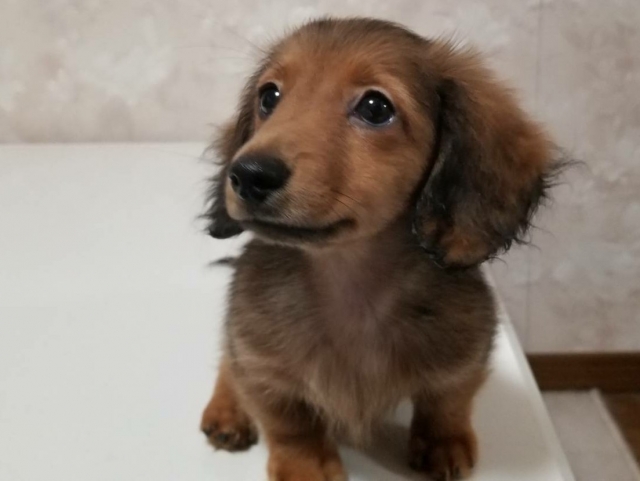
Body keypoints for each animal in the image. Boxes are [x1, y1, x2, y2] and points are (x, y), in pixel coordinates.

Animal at [200, 17, 563, 481]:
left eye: (375, 107)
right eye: (269, 97)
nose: (247, 174)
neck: (352, 285)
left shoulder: (466, 353)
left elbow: (447, 403)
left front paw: (444, 444)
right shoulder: (262, 365)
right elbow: (291, 425)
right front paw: (306, 467)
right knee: (228, 364)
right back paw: (227, 411)